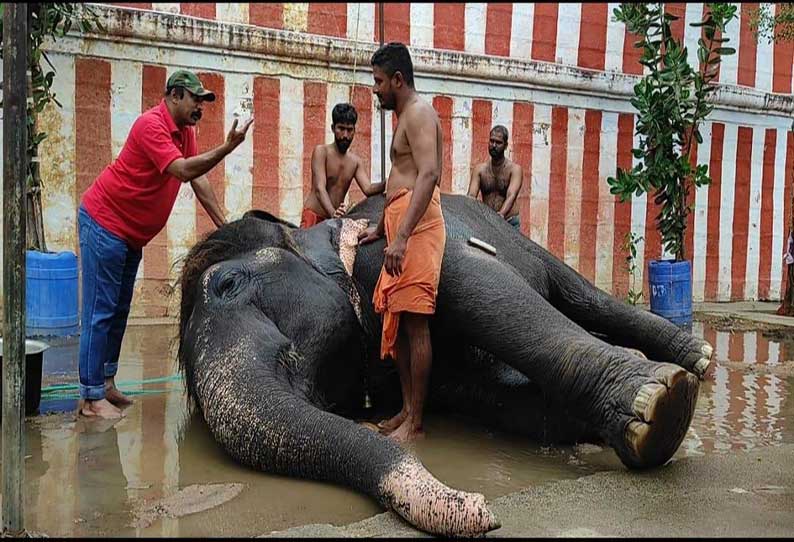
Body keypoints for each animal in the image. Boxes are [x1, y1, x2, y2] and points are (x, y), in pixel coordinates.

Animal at [178, 193, 712, 536]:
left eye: (227, 284)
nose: (482, 508)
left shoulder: (394, 251)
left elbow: (483, 289)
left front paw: (658, 408)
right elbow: (490, 394)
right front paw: (603, 422)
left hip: (524, 242)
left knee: (580, 294)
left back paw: (694, 361)